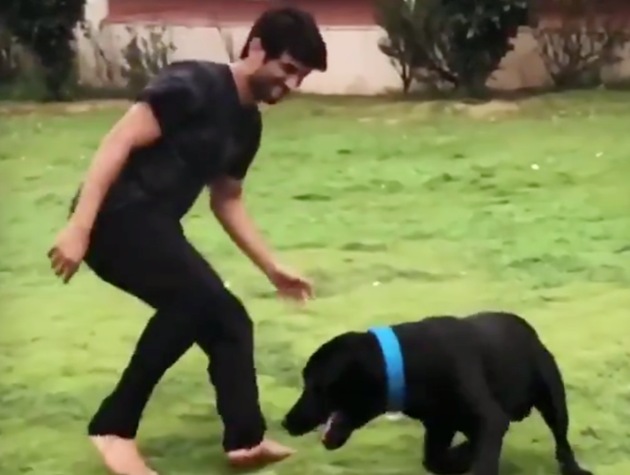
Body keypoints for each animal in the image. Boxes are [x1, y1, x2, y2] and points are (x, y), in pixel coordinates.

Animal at [284, 312, 596, 475]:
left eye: (316, 386)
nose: (286, 423)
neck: (407, 362)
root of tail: (526, 327)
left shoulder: (490, 419)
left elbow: (482, 459)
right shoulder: (440, 425)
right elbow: (435, 460)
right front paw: (462, 457)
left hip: (553, 399)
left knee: (561, 439)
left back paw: (573, 468)